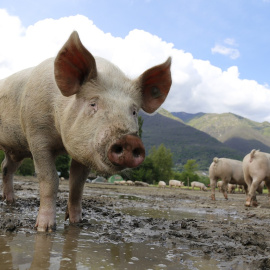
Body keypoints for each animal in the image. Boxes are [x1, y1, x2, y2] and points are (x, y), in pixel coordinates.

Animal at [0, 30, 173, 231]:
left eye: (134, 111)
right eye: (93, 103)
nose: (129, 141)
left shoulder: (84, 150)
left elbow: (77, 185)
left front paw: (77, 223)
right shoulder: (36, 135)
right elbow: (50, 179)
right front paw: (45, 228)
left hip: (16, 150)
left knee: (6, 168)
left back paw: (11, 201)